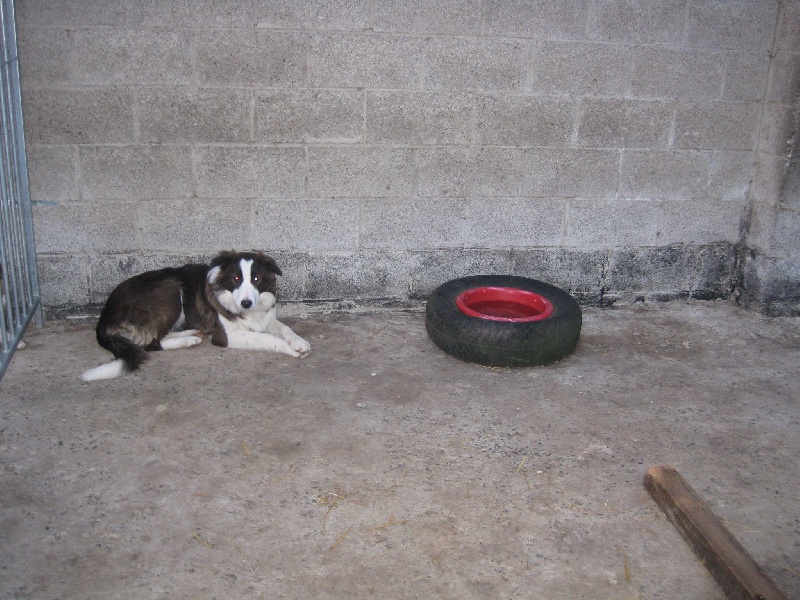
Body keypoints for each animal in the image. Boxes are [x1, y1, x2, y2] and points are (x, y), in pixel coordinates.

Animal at [80, 251, 310, 381]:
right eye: (236, 278)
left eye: (256, 279)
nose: (246, 303)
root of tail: (105, 313)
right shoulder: (227, 336)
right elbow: (269, 338)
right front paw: (289, 349)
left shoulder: (267, 318)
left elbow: (283, 328)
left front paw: (298, 342)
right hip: (171, 288)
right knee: (150, 343)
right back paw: (187, 340)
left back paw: (191, 333)